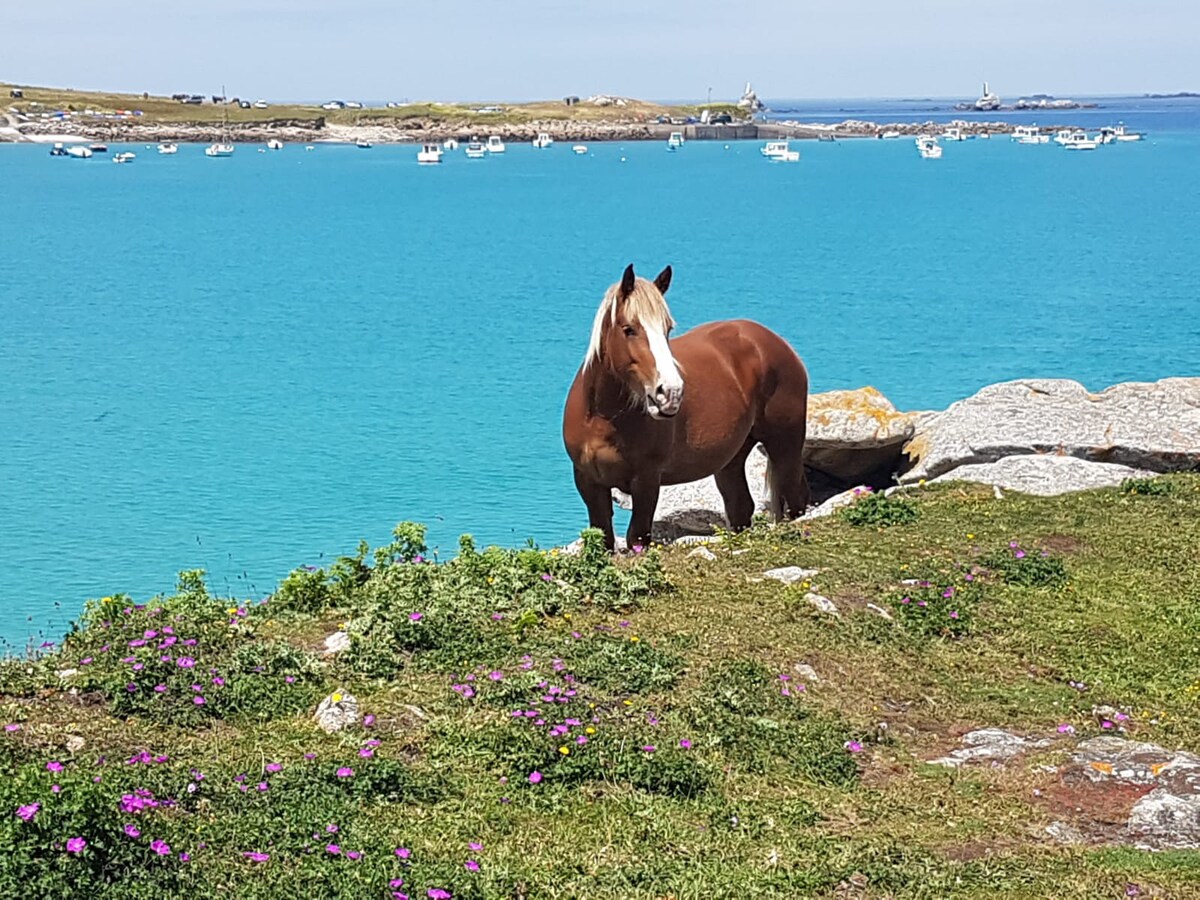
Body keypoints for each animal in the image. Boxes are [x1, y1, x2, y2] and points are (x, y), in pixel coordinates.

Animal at [559, 264, 806, 554]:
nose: (671, 392)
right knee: (741, 508)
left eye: (668, 328)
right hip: (731, 460)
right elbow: (604, 539)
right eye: (629, 329)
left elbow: (637, 537)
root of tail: (777, 343)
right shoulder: (589, 482)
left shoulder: (647, 481)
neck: (604, 418)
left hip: (785, 446)